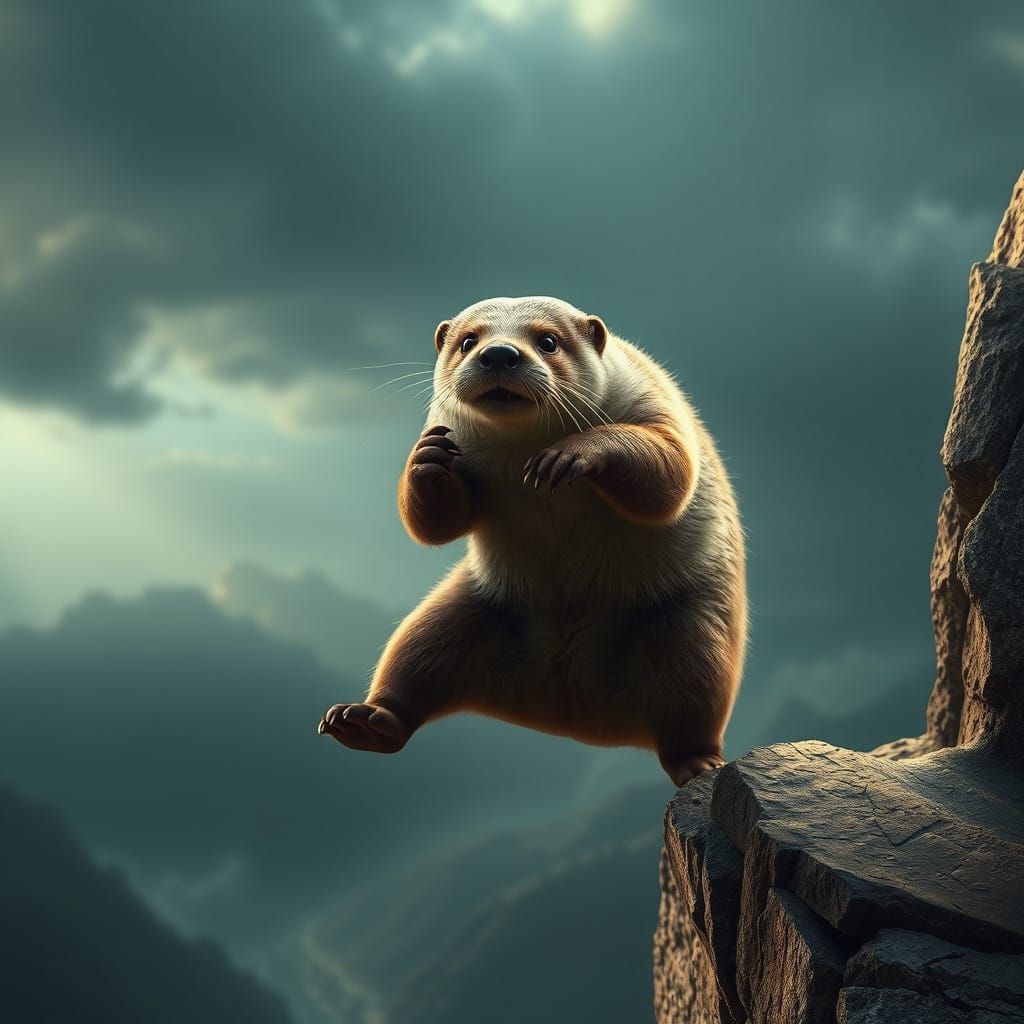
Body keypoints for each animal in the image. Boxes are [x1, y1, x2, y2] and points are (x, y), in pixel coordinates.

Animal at [318, 296, 747, 785]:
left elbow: (667, 471)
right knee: (415, 660)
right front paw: (426, 457)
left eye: (548, 340)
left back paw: (699, 764)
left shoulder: (648, 397)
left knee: (691, 701)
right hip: (463, 610)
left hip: (690, 627)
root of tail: (571, 714)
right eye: (469, 340)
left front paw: (568, 454)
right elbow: (436, 524)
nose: (499, 354)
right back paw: (361, 720)